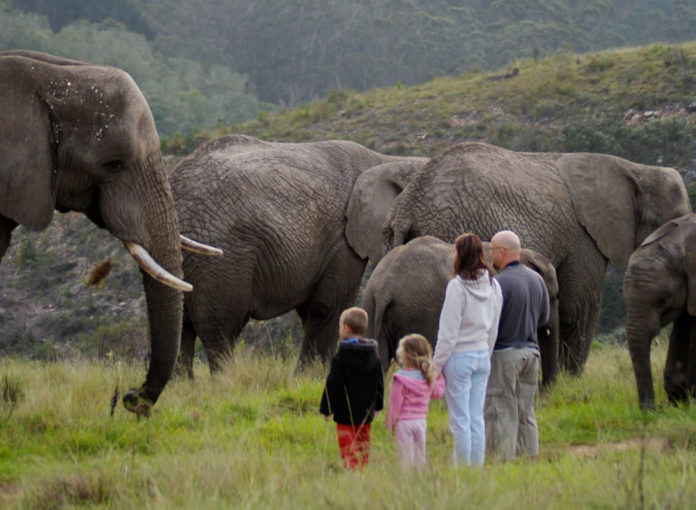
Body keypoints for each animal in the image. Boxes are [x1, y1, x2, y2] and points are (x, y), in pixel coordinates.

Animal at [171, 135, 426, 374]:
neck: (388, 161)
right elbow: (328, 306)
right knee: (220, 328)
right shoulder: (341, 241)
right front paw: (312, 376)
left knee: (181, 329)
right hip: (222, 255)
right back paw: (226, 381)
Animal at [362, 237, 564, 384]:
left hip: (372, 305)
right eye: (553, 297)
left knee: (381, 362)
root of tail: (386, 285)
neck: (522, 255)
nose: (546, 391)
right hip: (420, 311)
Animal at [386, 139, 692, 374]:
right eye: (672, 224)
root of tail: (408, 207)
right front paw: (570, 380)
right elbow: (577, 309)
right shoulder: (582, 237)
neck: (634, 170)